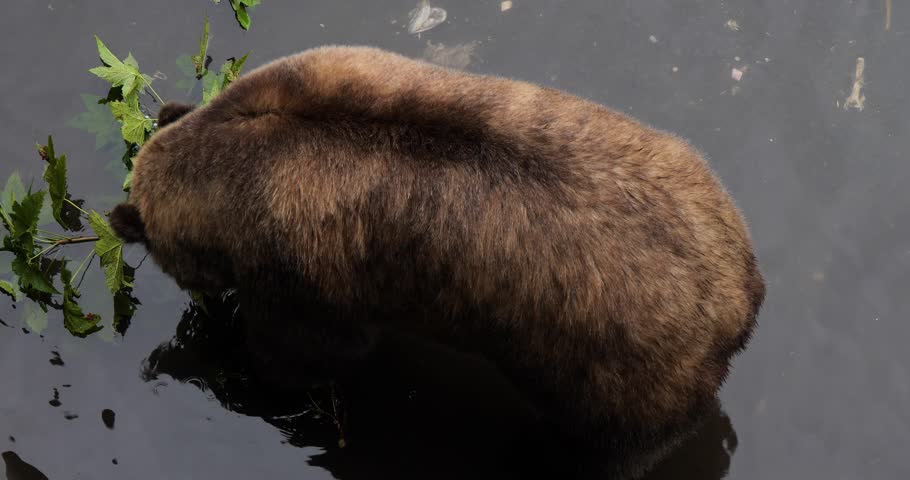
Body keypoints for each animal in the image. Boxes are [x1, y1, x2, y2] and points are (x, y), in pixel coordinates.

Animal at [109, 45, 765, 478]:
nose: (196, 302)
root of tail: (743, 297)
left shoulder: (302, 272)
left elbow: (303, 359)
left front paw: (231, 361)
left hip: (618, 377)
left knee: (609, 448)